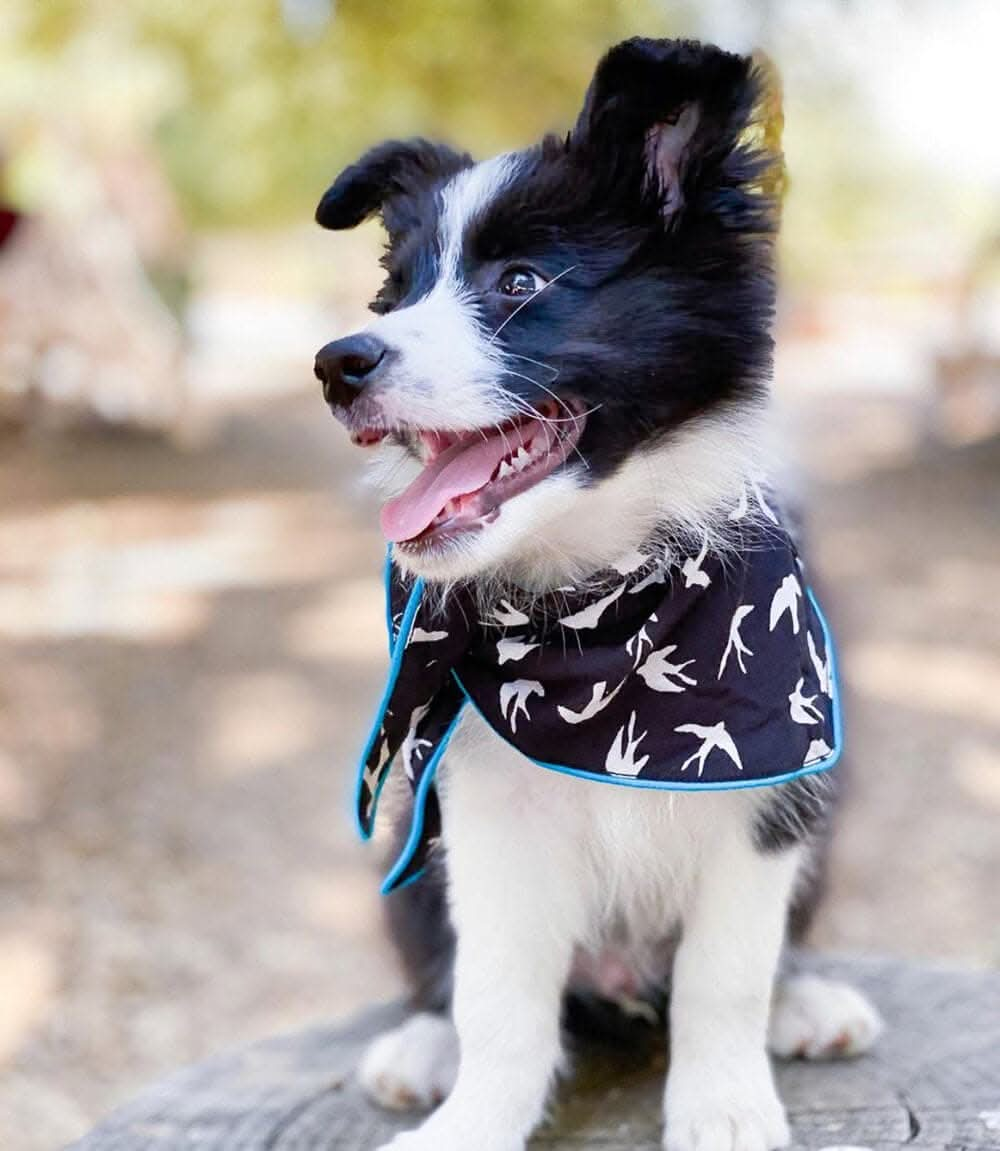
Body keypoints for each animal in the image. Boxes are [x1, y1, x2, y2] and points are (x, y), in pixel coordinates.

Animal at [315, 35, 879, 1151]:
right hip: (408, 842)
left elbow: (724, 974)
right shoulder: (485, 809)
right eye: (395, 296)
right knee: (441, 974)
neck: (598, 605)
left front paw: (724, 1107)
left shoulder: (767, 793)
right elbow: (498, 997)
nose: (337, 364)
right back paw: (422, 1048)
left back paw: (808, 1001)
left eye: (521, 280)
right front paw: (472, 1120)